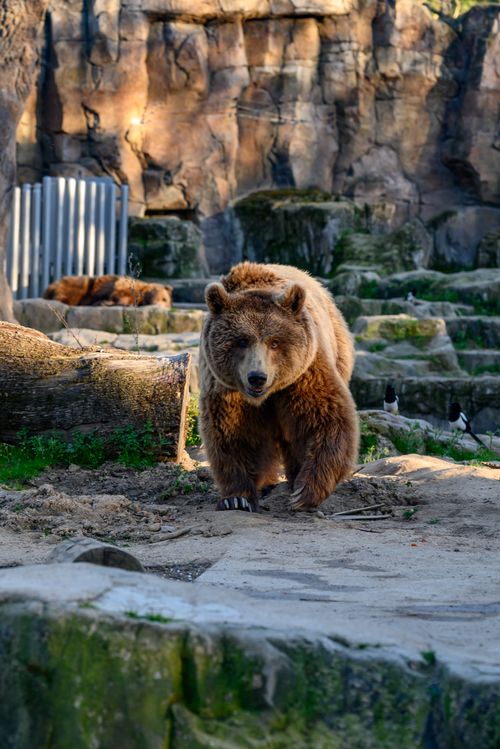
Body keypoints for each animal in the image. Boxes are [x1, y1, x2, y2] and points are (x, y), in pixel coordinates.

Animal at [199, 261, 359, 513]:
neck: (266, 395)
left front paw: (304, 492)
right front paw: (237, 498)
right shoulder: (226, 387)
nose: (257, 377)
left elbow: (325, 419)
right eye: (241, 341)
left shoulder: (304, 373)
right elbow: (231, 434)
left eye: (274, 342)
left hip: (337, 350)